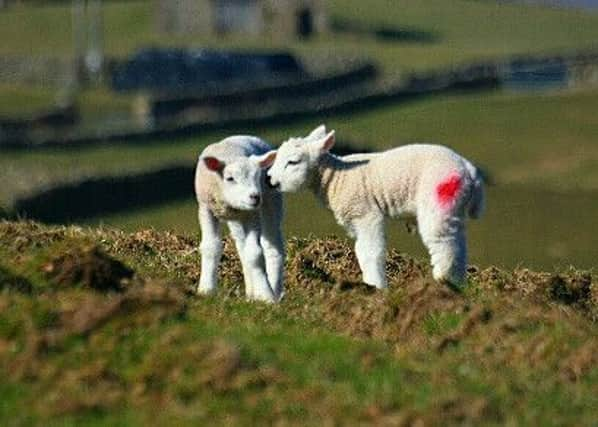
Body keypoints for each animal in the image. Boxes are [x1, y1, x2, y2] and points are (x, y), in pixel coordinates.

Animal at [193, 135, 284, 302]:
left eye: (258, 176)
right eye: (229, 178)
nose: (255, 197)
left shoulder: (251, 215)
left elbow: (255, 253)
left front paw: (265, 295)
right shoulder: (205, 209)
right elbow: (210, 247)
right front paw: (206, 289)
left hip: (272, 201)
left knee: (272, 246)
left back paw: (275, 290)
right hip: (236, 221)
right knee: (242, 248)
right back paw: (250, 293)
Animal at [268, 125, 488, 290]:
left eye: (293, 162)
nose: (270, 181)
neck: (336, 179)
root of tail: (470, 172)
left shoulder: (365, 214)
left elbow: (369, 251)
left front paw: (375, 286)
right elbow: (360, 249)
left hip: (439, 200)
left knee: (445, 244)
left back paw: (443, 282)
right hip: (453, 207)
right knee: (459, 244)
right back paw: (459, 285)